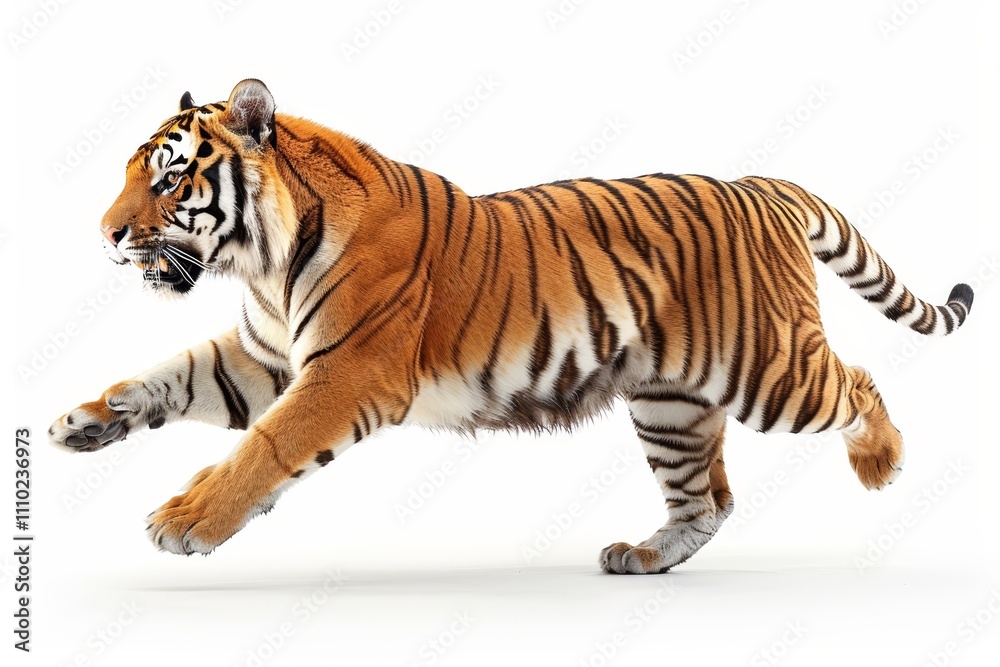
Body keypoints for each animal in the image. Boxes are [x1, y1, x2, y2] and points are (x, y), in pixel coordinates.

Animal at [48, 79, 973, 574]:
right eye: (130, 173)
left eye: (169, 181)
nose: (106, 234)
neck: (264, 264)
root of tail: (760, 184)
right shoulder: (264, 354)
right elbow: (168, 376)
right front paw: (87, 421)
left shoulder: (347, 370)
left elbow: (266, 443)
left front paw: (187, 520)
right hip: (670, 404)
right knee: (710, 496)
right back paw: (644, 555)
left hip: (770, 370)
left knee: (859, 381)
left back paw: (881, 460)